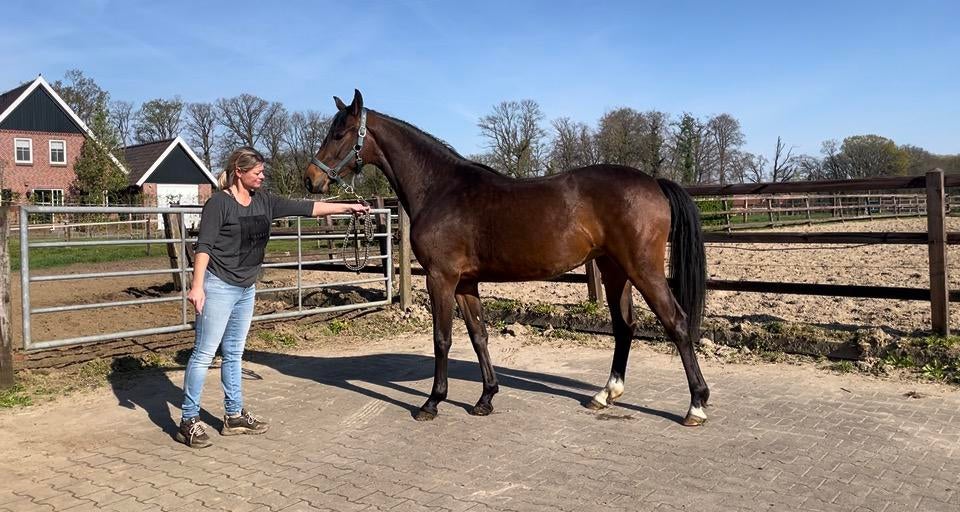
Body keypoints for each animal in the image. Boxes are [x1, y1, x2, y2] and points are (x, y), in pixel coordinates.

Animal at [305, 90, 710, 426]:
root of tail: (654, 183)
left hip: (642, 270)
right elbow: (478, 335)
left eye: (339, 134)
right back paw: (605, 394)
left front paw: (432, 403)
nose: (311, 180)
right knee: (625, 327)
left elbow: (442, 338)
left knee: (676, 322)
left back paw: (696, 406)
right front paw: (486, 398)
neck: (440, 189)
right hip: (614, 271)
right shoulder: (466, 282)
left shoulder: (441, 277)